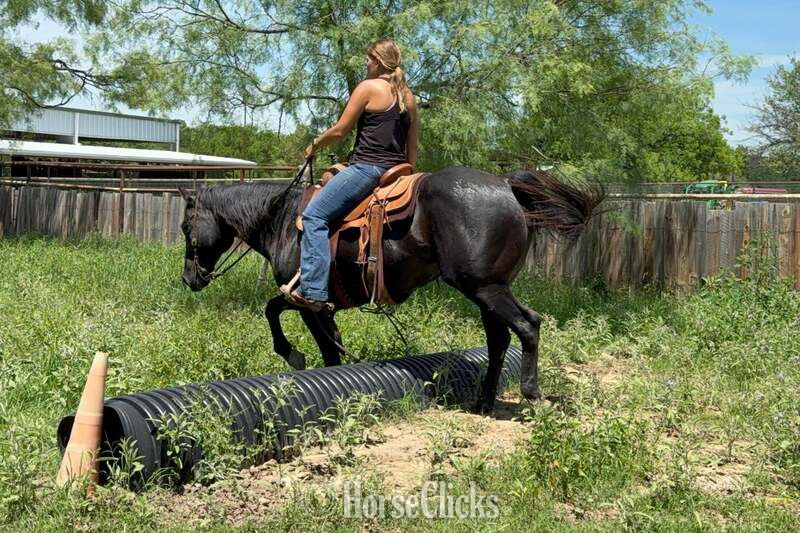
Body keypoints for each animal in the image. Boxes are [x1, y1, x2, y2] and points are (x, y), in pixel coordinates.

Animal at [178, 166, 602, 412]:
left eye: (185, 227)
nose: (189, 278)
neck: (283, 221)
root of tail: (505, 186)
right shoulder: (327, 308)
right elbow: (331, 348)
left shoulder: (308, 302)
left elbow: (281, 317)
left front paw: (293, 355)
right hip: (487, 292)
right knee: (499, 341)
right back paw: (483, 402)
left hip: (484, 287)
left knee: (528, 325)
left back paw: (531, 394)